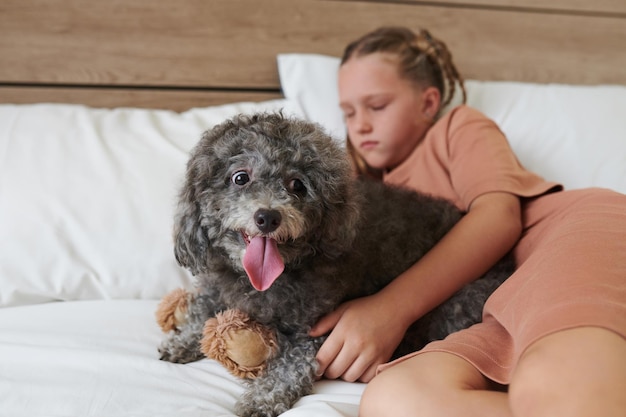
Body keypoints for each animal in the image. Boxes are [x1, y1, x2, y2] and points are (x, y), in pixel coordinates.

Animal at [157, 112, 512, 416]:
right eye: (240, 178)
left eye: (297, 185)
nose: (268, 216)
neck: (260, 282)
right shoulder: (218, 288)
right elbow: (202, 310)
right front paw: (183, 341)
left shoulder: (314, 331)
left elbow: (291, 366)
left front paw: (262, 398)